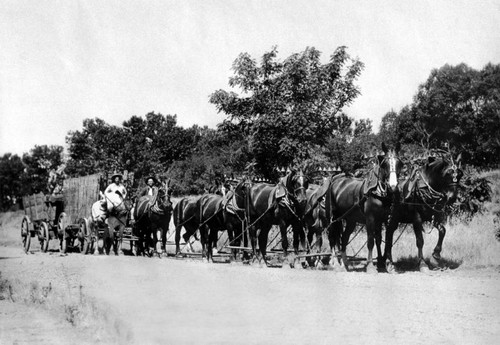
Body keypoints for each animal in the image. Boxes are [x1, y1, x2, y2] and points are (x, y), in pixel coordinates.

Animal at [324, 143, 402, 272]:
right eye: (385, 164)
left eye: (399, 163)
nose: (393, 186)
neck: (378, 191)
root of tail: (334, 180)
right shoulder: (370, 219)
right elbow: (370, 240)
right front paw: (370, 265)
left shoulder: (384, 219)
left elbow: (383, 240)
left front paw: (385, 264)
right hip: (334, 217)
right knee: (332, 237)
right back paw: (334, 262)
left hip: (351, 220)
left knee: (344, 238)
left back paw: (345, 263)